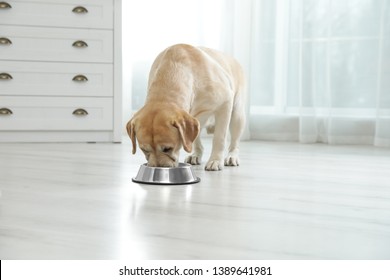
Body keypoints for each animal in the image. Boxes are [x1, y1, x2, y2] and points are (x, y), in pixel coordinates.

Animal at [126, 43, 245, 171]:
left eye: (167, 149)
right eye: (144, 150)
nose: (159, 168)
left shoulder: (225, 103)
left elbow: (219, 138)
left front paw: (215, 161)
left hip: (237, 116)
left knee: (234, 141)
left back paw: (232, 157)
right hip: (196, 122)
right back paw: (195, 155)